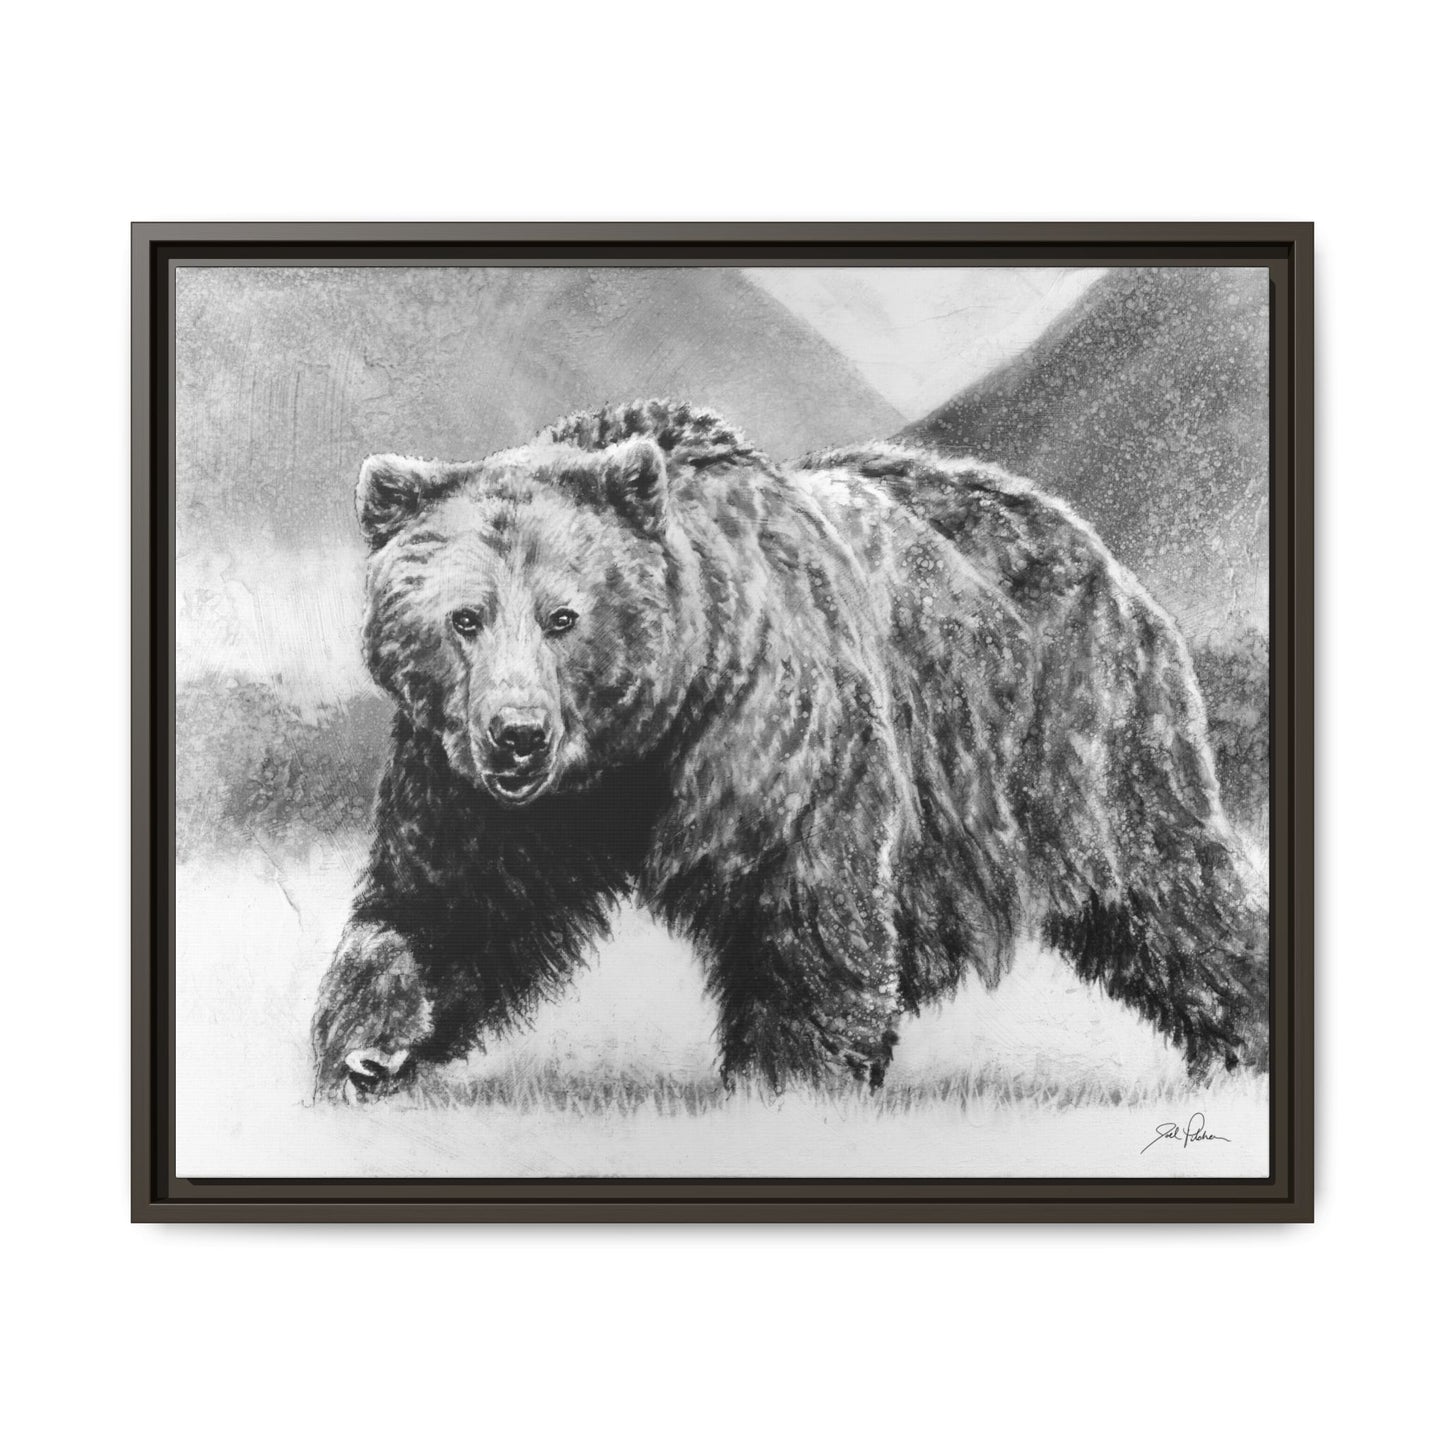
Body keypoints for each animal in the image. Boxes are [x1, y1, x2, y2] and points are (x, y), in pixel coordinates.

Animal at [311, 398, 1268, 1101]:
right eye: (463, 618)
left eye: (563, 615)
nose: (517, 733)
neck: (641, 741)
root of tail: (1091, 541)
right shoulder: (471, 783)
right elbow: (446, 901)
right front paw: (365, 1048)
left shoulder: (777, 732)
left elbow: (806, 900)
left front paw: (788, 1080)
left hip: (1080, 736)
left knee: (1171, 893)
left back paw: (1242, 1041)